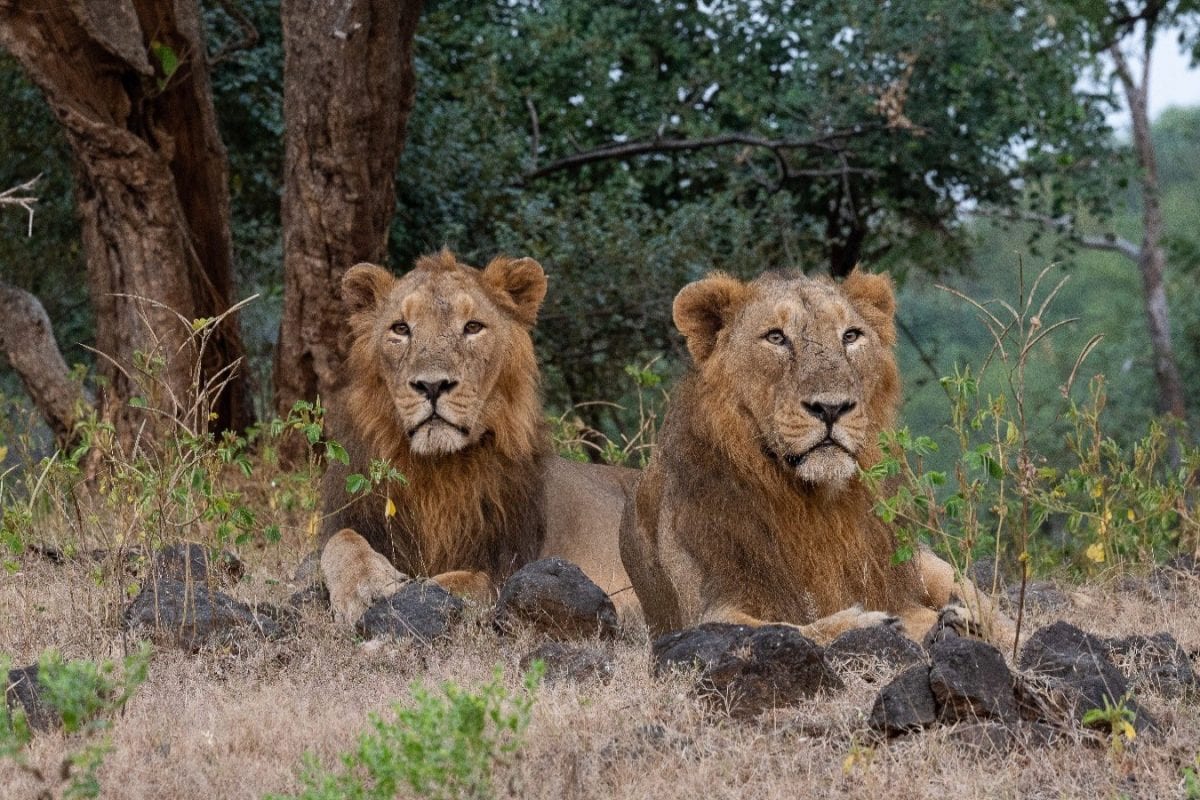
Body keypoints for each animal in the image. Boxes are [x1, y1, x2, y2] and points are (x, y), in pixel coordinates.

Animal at [319, 249, 639, 626]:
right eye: (400, 328)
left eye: (472, 327)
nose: (432, 385)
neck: (435, 471)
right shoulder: (351, 518)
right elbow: (340, 541)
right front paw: (366, 586)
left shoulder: (506, 565)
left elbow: (460, 582)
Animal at [619, 267, 1013, 648]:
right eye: (776, 338)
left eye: (851, 336)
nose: (832, 407)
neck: (813, 503)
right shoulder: (708, 609)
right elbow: (787, 628)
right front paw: (871, 623)